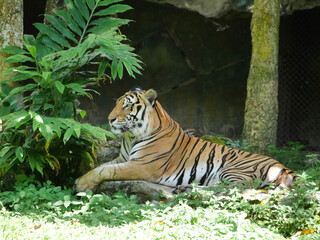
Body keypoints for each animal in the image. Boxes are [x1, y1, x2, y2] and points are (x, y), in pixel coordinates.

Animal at [74, 87, 296, 191]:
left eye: (127, 106)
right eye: (117, 104)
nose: (109, 119)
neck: (130, 136)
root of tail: (285, 167)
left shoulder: (142, 166)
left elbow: (106, 170)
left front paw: (81, 184)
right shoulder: (123, 159)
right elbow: (100, 166)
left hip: (235, 170)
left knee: (231, 188)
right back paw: (185, 187)